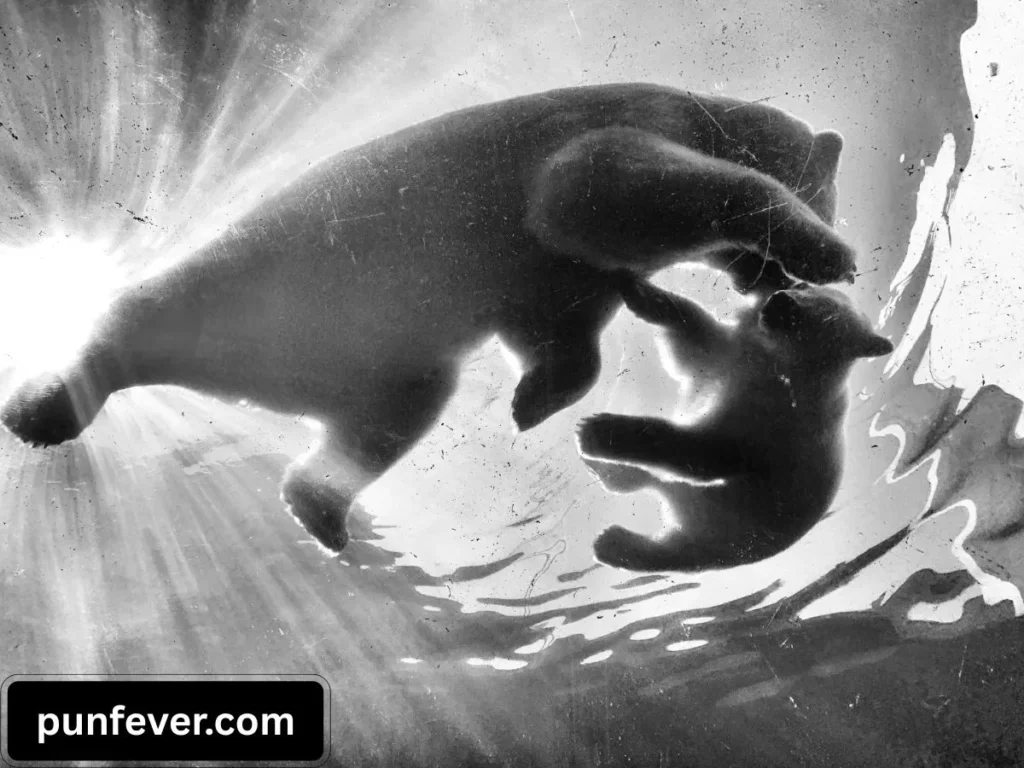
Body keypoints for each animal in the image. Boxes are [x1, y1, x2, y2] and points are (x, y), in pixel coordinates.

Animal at [0, 82, 857, 554]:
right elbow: (602, 189)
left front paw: (532, 401)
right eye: (827, 196)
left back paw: (321, 508)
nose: (768, 285)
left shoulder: (545, 281)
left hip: (372, 355)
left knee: (386, 416)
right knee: (142, 311)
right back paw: (47, 403)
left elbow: (557, 321)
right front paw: (826, 252)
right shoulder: (615, 126)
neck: (698, 108)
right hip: (255, 270)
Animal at [577, 275, 893, 572]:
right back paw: (609, 477)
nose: (781, 301)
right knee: (659, 488)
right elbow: (694, 343)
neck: (779, 364)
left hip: (731, 525)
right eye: (803, 286)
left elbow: (709, 452)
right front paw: (641, 291)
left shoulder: (780, 420)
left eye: (828, 317)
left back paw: (613, 542)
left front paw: (597, 431)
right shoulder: (734, 357)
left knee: (677, 547)